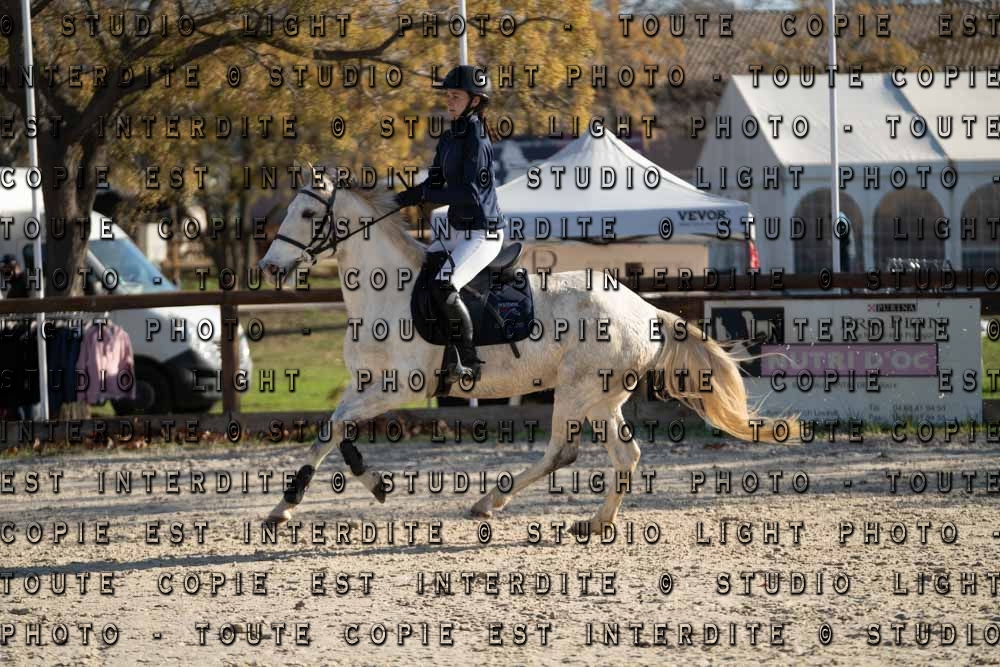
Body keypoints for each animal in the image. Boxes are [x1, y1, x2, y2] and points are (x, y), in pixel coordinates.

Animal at [256, 169, 799, 534]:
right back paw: (595, 523)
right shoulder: (364, 384)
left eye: (309, 214)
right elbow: (333, 431)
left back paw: (490, 502)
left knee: (562, 449)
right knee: (625, 454)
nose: (270, 268)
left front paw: (292, 505)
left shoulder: (398, 387)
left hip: (576, 391)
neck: (386, 290)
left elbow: (335, 428)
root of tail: (645, 309)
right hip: (602, 399)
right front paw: (335, 493)